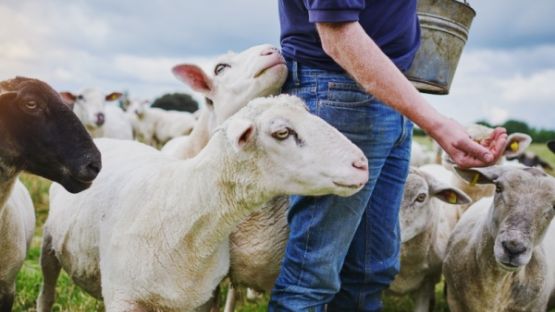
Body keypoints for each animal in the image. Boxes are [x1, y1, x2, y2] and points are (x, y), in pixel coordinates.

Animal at [38, 95, 370, 312]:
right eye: (282, 132)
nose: (362, 164)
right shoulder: (123, 298)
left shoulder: (199, 299)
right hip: (49, 246)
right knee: (47, 294)